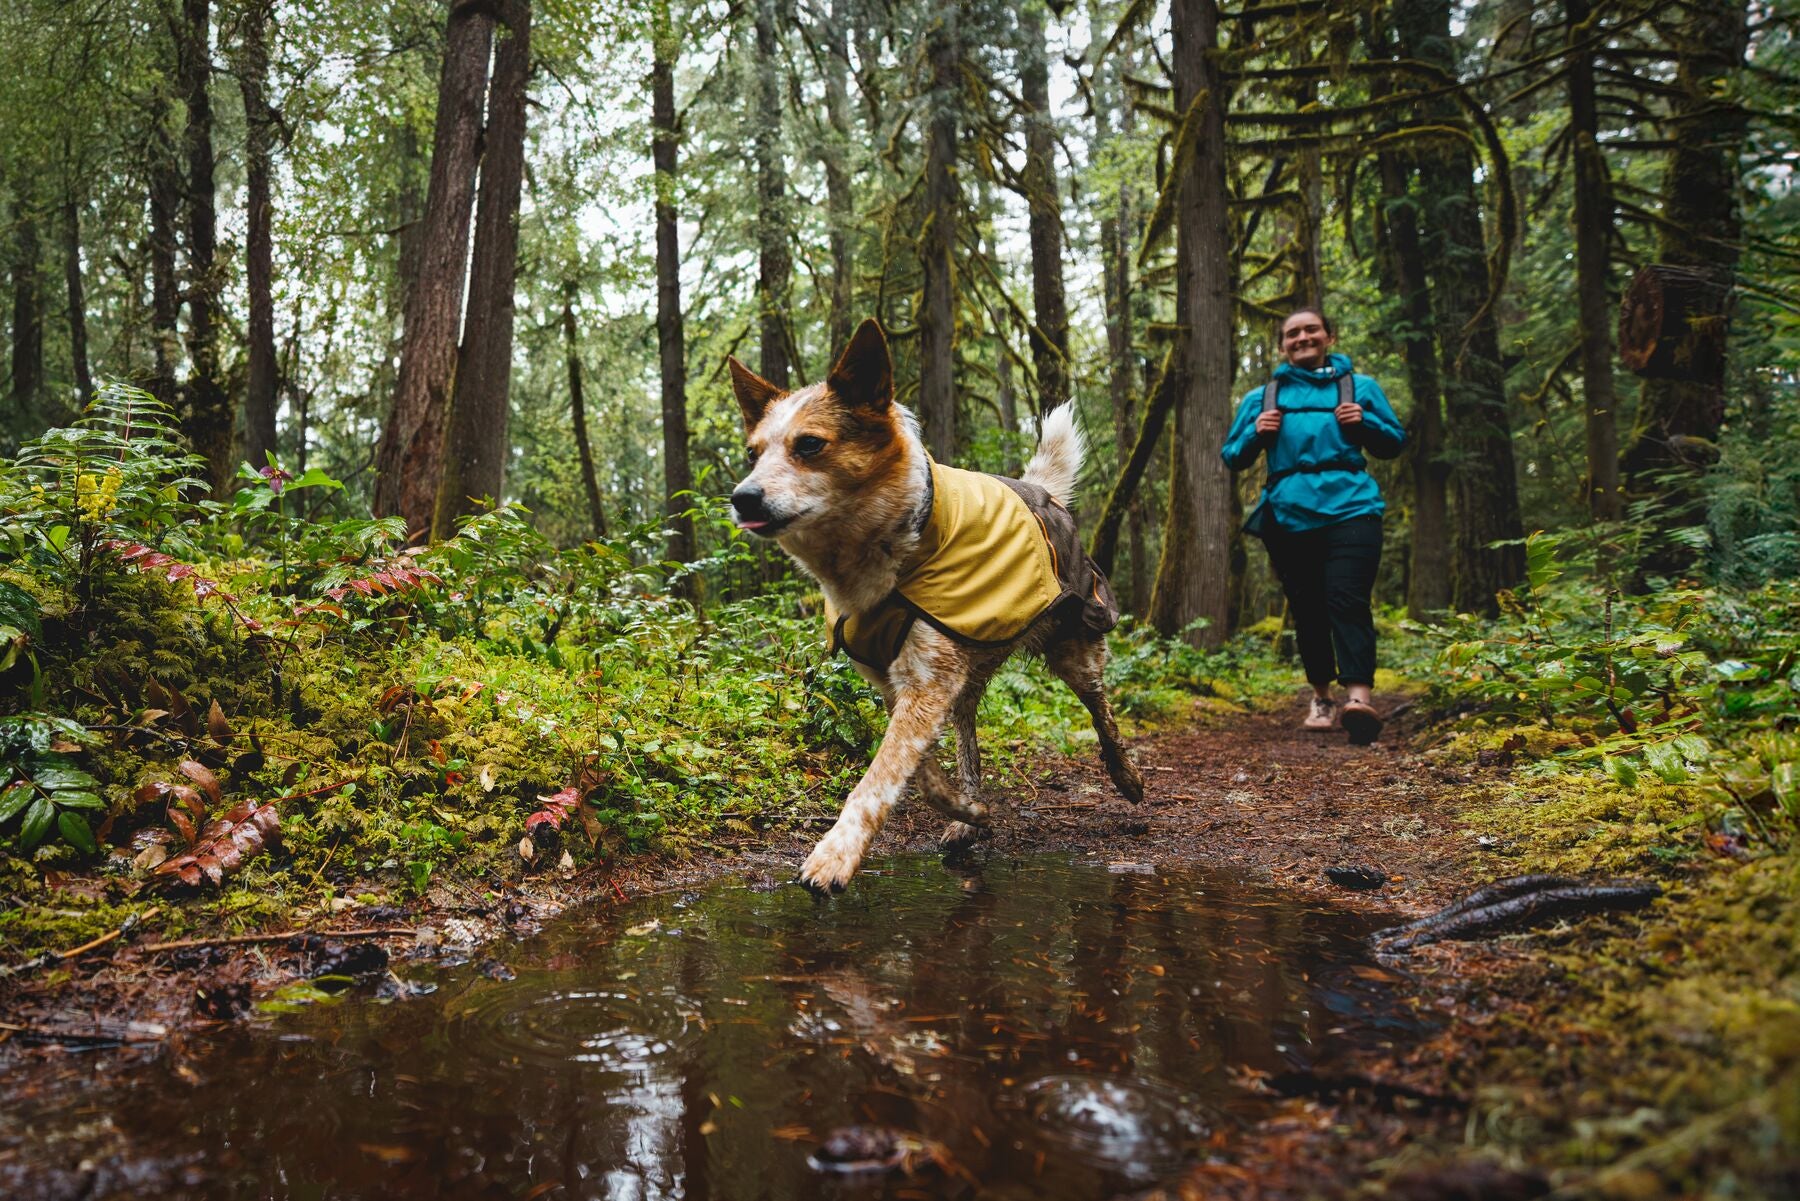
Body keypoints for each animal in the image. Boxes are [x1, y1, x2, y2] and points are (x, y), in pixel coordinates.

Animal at [727, 318, 1137, 893]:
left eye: (809, 445)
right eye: (752, 453)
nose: (742, 498)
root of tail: (1040, 490)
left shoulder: (926, 684)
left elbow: (878, 777)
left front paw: (835, 854)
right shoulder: (897, 681)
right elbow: (916, 771)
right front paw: (963, 809)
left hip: (1076, 643)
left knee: (1102, 710)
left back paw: (1126, 775)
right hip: (973, 662)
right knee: (969, 736)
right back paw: (969, 817)